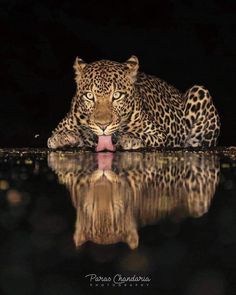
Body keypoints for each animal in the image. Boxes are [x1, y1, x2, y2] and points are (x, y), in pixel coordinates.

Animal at [47, 55, 221, 151]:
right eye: (89, 96)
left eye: (117, 95)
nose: (103, 126)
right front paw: (64, 138)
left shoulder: (159, 134)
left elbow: (140, 135)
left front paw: (128, 138)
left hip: (200, 91)